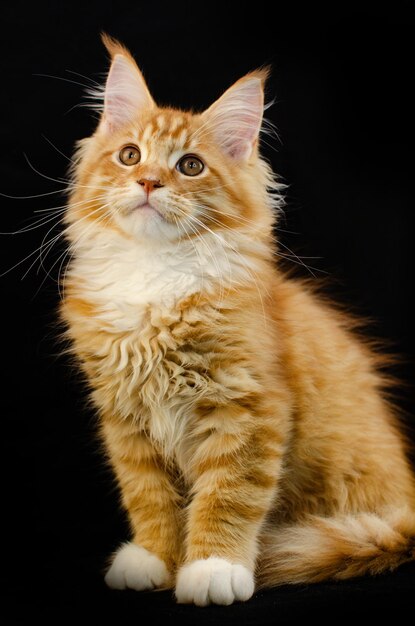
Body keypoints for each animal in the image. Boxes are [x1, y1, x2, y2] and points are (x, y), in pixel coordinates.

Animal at [61, 35, 415, 604]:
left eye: (189, 166)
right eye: (130, 155)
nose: (148, 182)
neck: (156, 275)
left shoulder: (249, 406)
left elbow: (229, 496)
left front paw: (212, 566)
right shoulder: (126, 418)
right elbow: (147, 494)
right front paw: (155, 557)